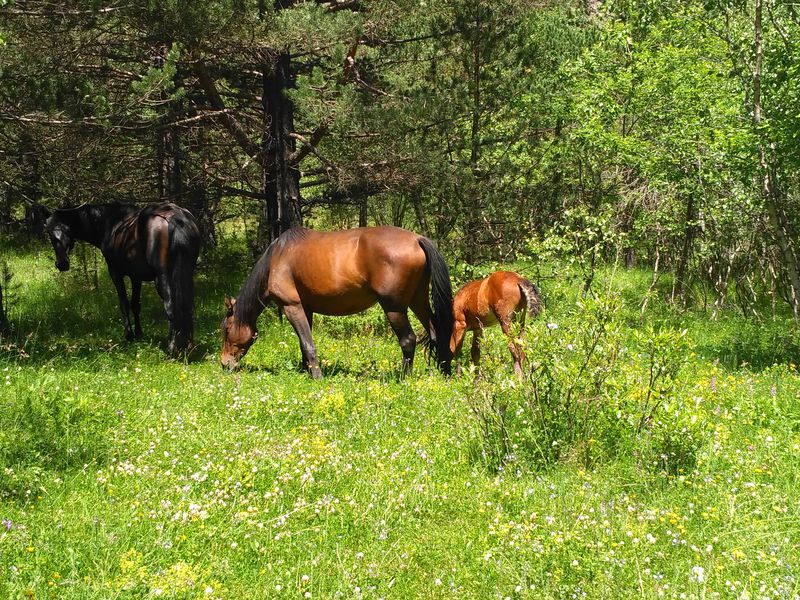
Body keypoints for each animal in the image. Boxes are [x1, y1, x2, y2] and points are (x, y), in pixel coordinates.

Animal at [45, 202, 200, 356]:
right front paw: (139, 333)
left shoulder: (115, 273)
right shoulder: (136, 277)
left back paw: (172, 349)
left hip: (162, 278)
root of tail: (176, 218)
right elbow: (135, 305)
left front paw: (129, 335)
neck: (111, 223)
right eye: (49, 233)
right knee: (187, 307)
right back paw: (187, 346)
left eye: (67, 230)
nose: (62, 264)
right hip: (185, 275)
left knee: (171, 309)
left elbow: (124, 304)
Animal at [222, 227, 454, 378]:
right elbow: (303, 343)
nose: (224, 364)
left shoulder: (292, 307)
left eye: (225, 329)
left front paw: (316, 377)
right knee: (436, 332)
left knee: (408, 340)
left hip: (394, 307)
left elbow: (308, 343)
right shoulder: (305, 309)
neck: (277, 258)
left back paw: (404, 377)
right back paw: (443, 370)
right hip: (418, 301)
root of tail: (417, 239)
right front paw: (306, 370)